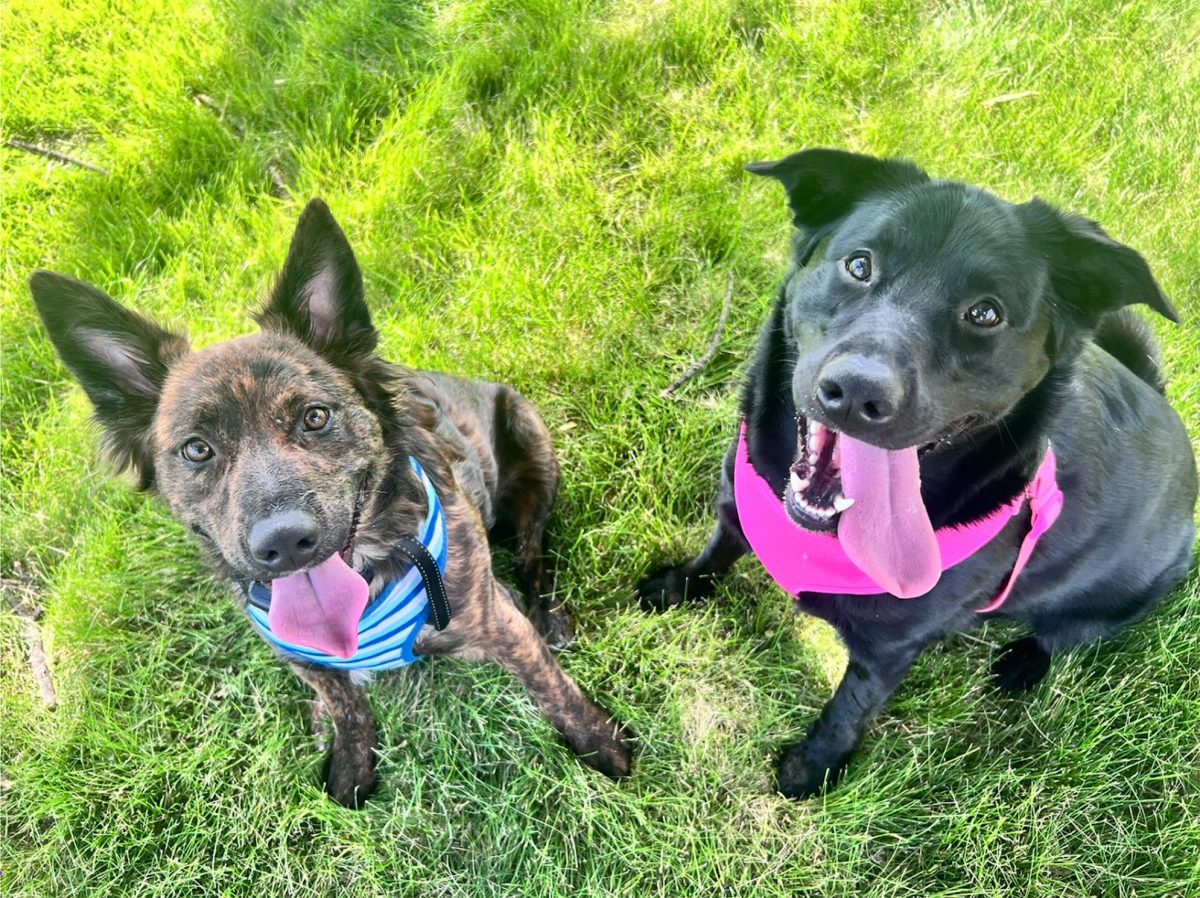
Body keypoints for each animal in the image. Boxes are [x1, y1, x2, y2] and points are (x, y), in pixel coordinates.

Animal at [32, 201, 633, 806]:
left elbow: (548, 684)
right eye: (197, 449)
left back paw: (547, 612)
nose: (284, 543)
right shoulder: (302, 656)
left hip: (533, 455)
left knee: (535, 555)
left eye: (315, 417)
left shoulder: (497, 624)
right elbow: (347, 705)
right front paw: (351, 765)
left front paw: (603, 743)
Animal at [638, 148, 1190, 801]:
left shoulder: (889, 651)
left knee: (1065, 635)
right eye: (859, 265)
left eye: (986, 313)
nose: (857, 393)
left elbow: (849, 706)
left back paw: (1022, 664)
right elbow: (718, 550)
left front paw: (812, 768)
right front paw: (677, 586)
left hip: (1121, 598)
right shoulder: (737, 508)